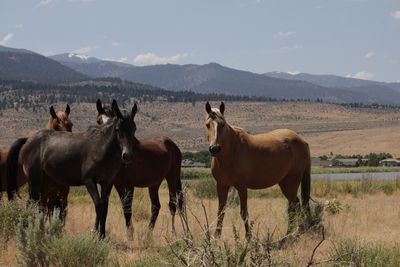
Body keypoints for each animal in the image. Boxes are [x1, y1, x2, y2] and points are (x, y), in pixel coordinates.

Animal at [11, 100, 136, 239]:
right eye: (118, 129)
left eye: (134, 128)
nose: (127, 155)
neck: (100, 147)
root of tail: (28, 140)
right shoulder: (89, 181)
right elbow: (98, 205)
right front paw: (95, 234)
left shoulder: (107, 182)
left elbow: (105, 207)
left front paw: (102, 235)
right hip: (35, 184)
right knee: (32, 205)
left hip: (44, 186)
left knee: (36, 206)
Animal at [96, 99, 184, 236]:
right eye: (99, 121)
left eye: (134, 128)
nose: (127, 156)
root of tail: (173, 145)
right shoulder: (114, 184)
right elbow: (112, 207)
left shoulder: (129, 185)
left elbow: (127, 208)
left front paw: (130, 235)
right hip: (154, 184)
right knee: (156, 206)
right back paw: (148, 233)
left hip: (172, 177)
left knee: (173, 204)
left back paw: (173, 232)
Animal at [203, 102, 312, 239]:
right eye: (207, 125)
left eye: (222, 124)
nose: (215, 148)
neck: (232, 152)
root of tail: (302, 141)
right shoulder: (221, 185)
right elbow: (220, 211)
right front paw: (216, 237)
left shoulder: (242, 187)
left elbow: (244, 213)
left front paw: (249, 238)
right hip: (285, 182)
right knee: (293, 206)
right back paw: (290, 234)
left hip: (291, 182)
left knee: (295, 205)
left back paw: (293, 233)